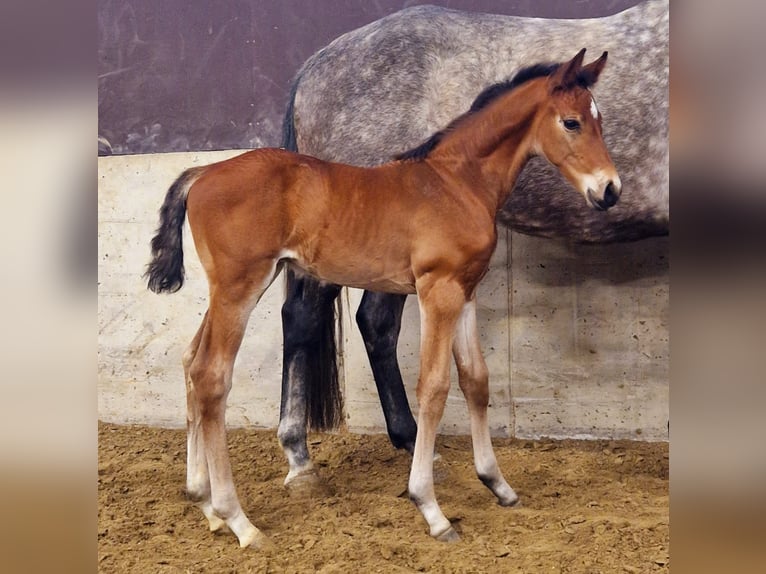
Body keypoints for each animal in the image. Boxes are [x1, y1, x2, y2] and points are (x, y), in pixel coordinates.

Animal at [147, 49, 619, 547]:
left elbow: (476, 380)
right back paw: (239, 520)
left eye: (599, 120)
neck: (456, 183)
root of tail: (202, 172)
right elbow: (434, 386)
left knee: (191, 361)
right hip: (240, 286)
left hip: (230, 289)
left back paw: (204, 502)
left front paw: (498, 484)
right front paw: (431, 509)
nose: (610, 190)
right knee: (211, 375)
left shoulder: (465, 291)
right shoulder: (437, 290)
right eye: (571, 122)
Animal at [278, 0, 668, 487]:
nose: (610, 190)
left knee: (375, 324)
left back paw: (410, 441)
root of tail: (314, 66)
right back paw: (299, 459)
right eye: (572, 123)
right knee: (303, 318)